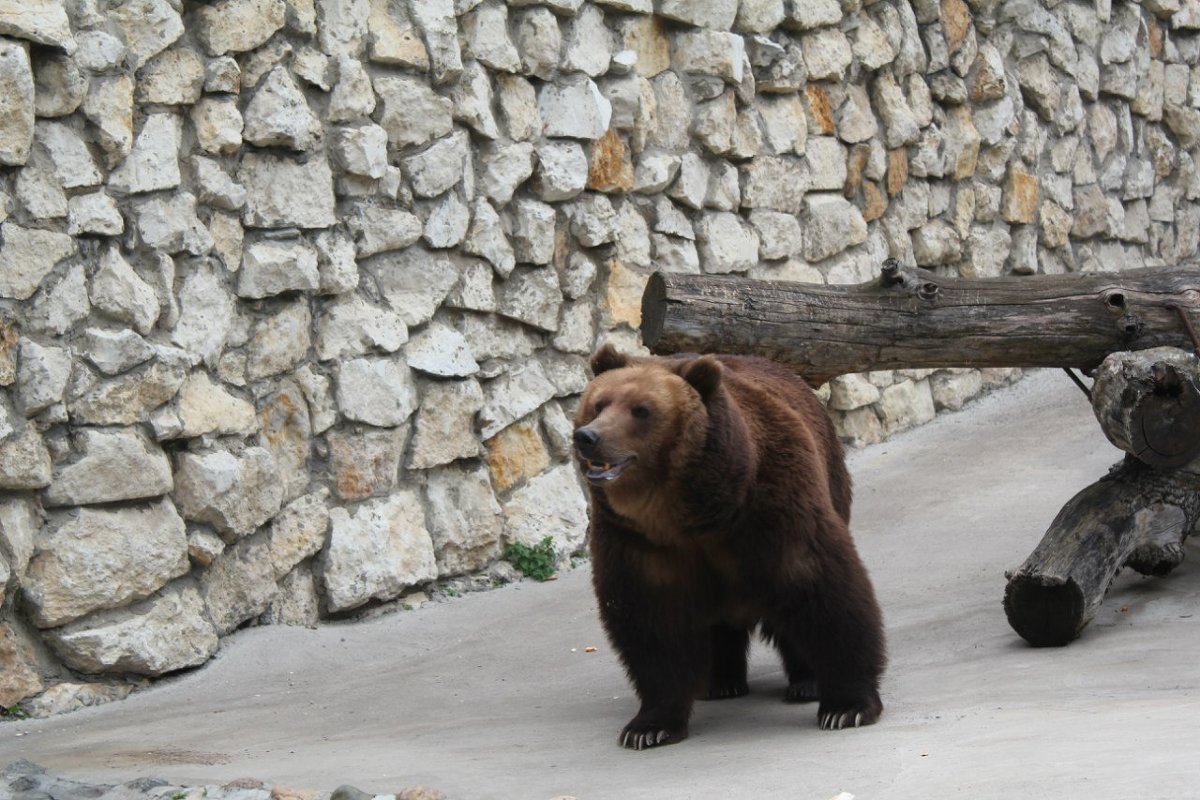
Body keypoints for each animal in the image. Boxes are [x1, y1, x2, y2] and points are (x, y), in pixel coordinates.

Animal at [576, 345, 888, 753]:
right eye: (598, 404)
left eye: (641, 410)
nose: (588, 437)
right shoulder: (637, 542)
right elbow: (652, 622)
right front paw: (648, 727)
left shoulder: (770, 505)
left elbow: (819, 586)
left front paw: (847, 707)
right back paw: (720, 682)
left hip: (830, 476)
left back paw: (805, 682)